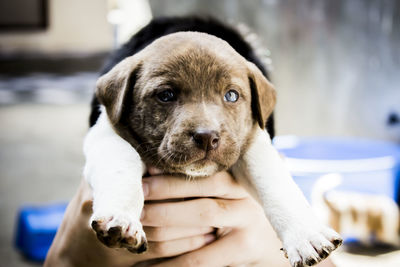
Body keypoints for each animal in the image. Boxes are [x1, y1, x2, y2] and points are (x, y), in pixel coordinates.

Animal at [83, 17, 342, 266]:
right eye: (166, 95)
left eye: (231, 95)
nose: (207, 137)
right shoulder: (105, 136)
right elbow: (122, 165)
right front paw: (121, 218)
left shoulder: (251, 143)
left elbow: (275, 183)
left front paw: (305, 235)